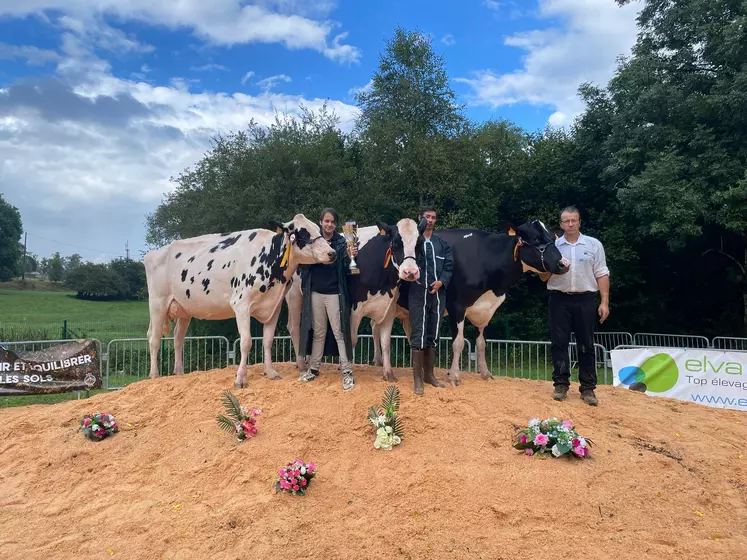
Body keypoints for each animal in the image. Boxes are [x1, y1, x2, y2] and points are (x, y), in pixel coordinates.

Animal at [145, 212, 338, 388]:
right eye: (303, 233)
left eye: (318, 229)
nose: (332, 253)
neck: (269, 257)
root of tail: (154, 253)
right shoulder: (241, 305)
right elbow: (246, 342)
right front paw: (240, 378)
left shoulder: (274, 307)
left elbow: (268, 341)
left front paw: (270, 372)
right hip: (157, 303)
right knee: (154, 338)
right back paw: (154, 375)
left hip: (184, 309)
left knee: (178, 338)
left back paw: (179, 373)